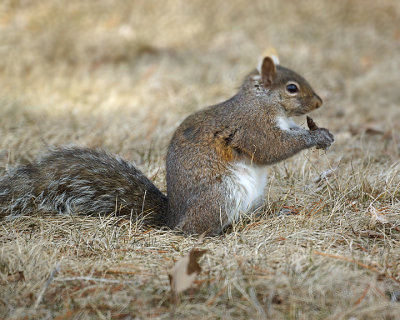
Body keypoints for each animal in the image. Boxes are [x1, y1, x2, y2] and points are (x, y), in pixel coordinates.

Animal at [0, 55, 334, 235]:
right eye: (292, 88)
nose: (319, 102)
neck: (263, 101)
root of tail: (172, 219)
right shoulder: (250, 125)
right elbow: (270, 147)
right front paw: (315, 138)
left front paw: (324, 133)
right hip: (221, 194)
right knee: (197, 231)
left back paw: (272, 215)